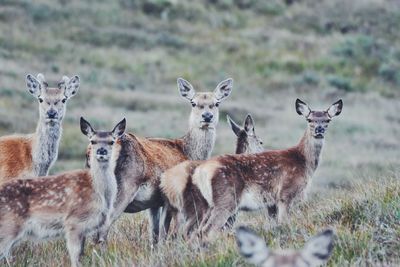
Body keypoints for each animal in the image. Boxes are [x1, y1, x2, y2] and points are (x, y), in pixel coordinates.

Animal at [0, 117, 125, 267]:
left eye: (111, 141)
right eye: (92, 141)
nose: (101, 151)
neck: (99, 193)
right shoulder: (73, 222)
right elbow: (75, 256)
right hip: (9, 226)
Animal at [85, 77, 233, 245]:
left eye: (217, 103)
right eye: (193, 103)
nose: (207, 116)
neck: (188, 150)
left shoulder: (154, 203)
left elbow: (154, 235)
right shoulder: (170, 199)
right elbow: (165, 234)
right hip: (123, 188)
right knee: (102, 229)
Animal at [164, 99, 342, 243]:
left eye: (327, 119)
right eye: (309, 119)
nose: (319, 129)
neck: (302, 161)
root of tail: (201, 171)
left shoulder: (271, 203)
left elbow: (274, 227)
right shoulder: (286, 194)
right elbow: (284, 225)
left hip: (203, 205)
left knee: (188, 231)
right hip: (226, 200)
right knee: (205, 231)